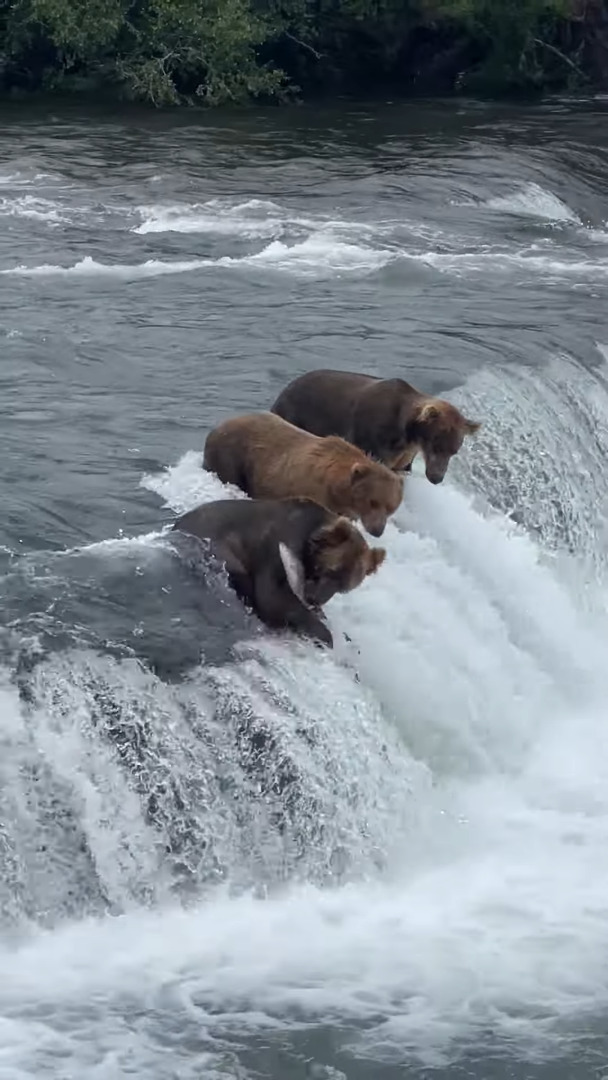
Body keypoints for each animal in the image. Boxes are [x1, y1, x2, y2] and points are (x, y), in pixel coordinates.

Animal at [173, 496, 388, 648]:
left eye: (343, 588)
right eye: (328, 570)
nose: (314, 599)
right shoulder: (277, 544)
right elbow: (273, 597)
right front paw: (325, 634)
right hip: (217, 542)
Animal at [203, 410, 403, 537]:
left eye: (391, 508)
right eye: (373, 502)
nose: (378, 531)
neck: (336, 487)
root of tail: (216, 428)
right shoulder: (312, 490)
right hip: (233, 456)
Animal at [271, 373, 481, 488]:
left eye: (454, 451)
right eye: (436, 446)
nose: (437, 477)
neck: (407, 434)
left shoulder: (405, 454)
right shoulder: (374, 439)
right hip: (298, 415)